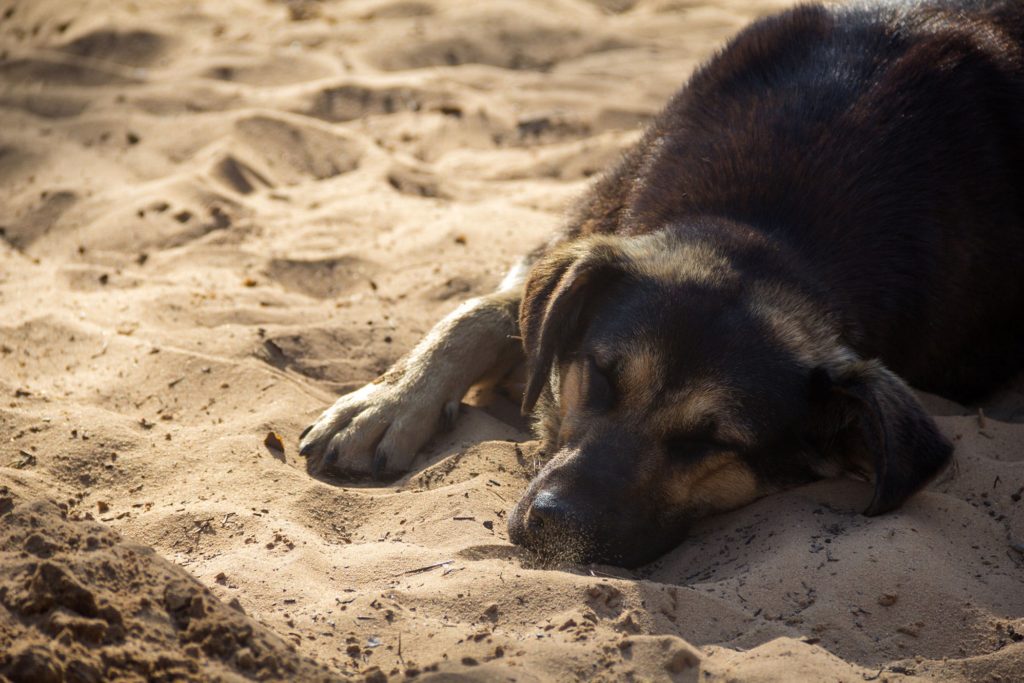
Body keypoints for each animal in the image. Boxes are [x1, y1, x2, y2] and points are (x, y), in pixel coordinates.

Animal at [299, 0, 1024, 565]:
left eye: (714, 442)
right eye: (599, 376)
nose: (556, 531)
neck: (769, 231)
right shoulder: (586, 236)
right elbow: (476, 313)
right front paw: (386, 403)